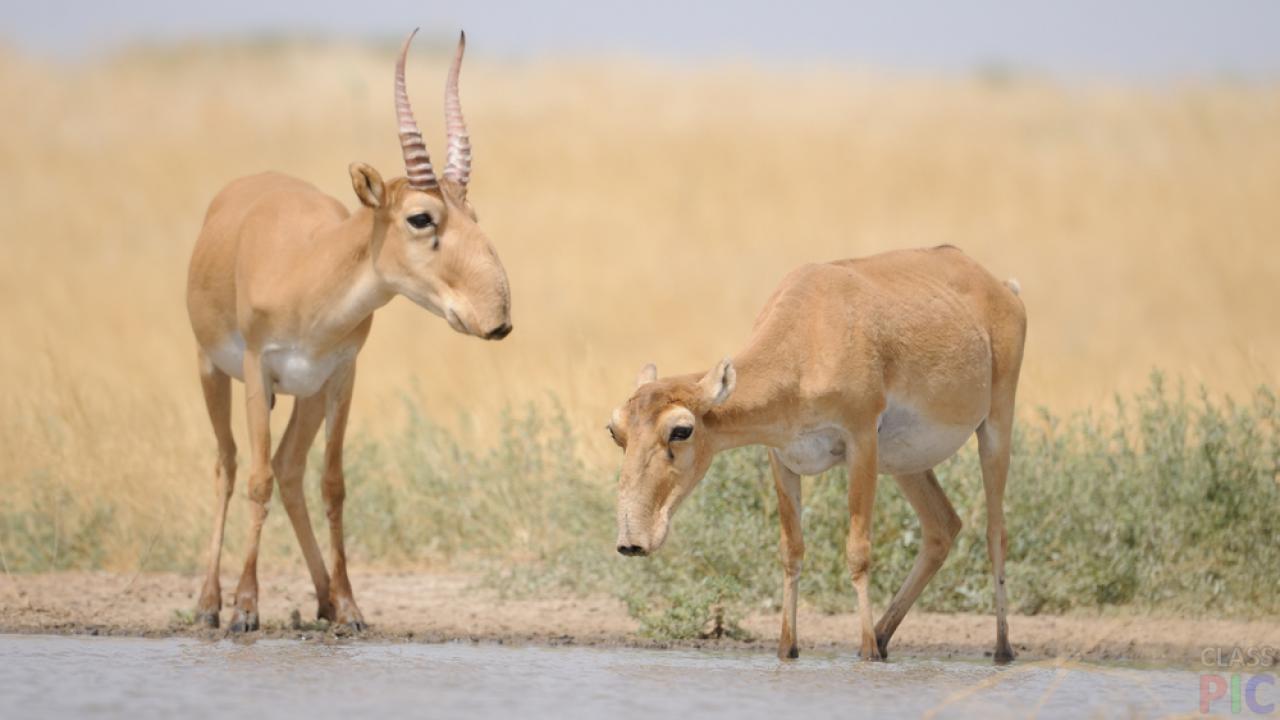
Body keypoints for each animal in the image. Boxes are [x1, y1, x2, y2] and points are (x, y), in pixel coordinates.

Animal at [185, 30, 509, 630]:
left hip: (307, 395)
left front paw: (352, 607)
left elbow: (332, 484)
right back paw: (211, 603)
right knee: (230, 465)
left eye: (472, 215)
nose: (496, 317)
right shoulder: (257, 369)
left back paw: (323, 599)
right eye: (421, 217)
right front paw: (246, 607)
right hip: (211, 371)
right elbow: (256, 480)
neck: (308, 270)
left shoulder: (341, 376)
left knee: (290, 469)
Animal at [611, 245, 1029, 661]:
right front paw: (788, 649)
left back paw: (1001, 648)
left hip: (995, 428)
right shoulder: (781, 458)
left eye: (681, 429)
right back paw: (883, 636)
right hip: (906, 464)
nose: (632, 541)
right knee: (943, 526)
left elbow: (858, 550)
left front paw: (865, 652)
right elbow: (791, 550)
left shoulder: (861, 441)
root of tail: (1002, 288)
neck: (809, 333)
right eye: (615, 430)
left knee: (996, 533)